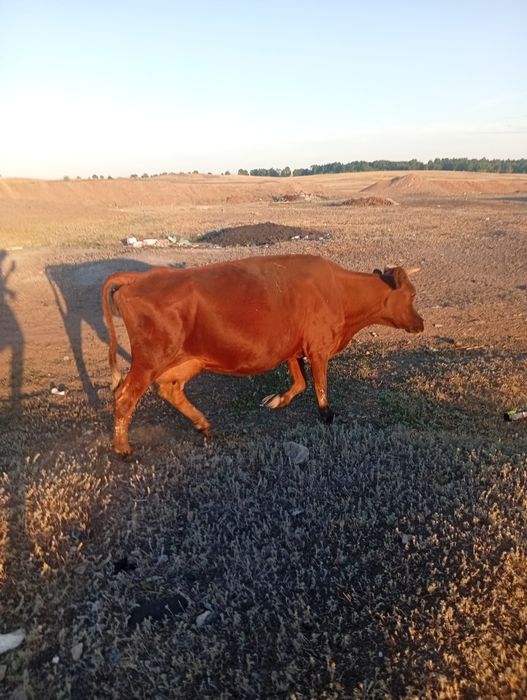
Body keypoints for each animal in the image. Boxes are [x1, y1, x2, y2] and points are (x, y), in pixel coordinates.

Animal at [102, 254, 424, 455]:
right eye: (412, 294)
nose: (420, 323)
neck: (340, 290)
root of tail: (140, 278)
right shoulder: (318, 348)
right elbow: (320, 387)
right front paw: (327, 416)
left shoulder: (294, 348)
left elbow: (300, 382)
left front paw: (278, 400)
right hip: (148, 360)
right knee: (124, 397)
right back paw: (123, 448)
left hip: (187, 360)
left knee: (170, 390)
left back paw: (203, 424)